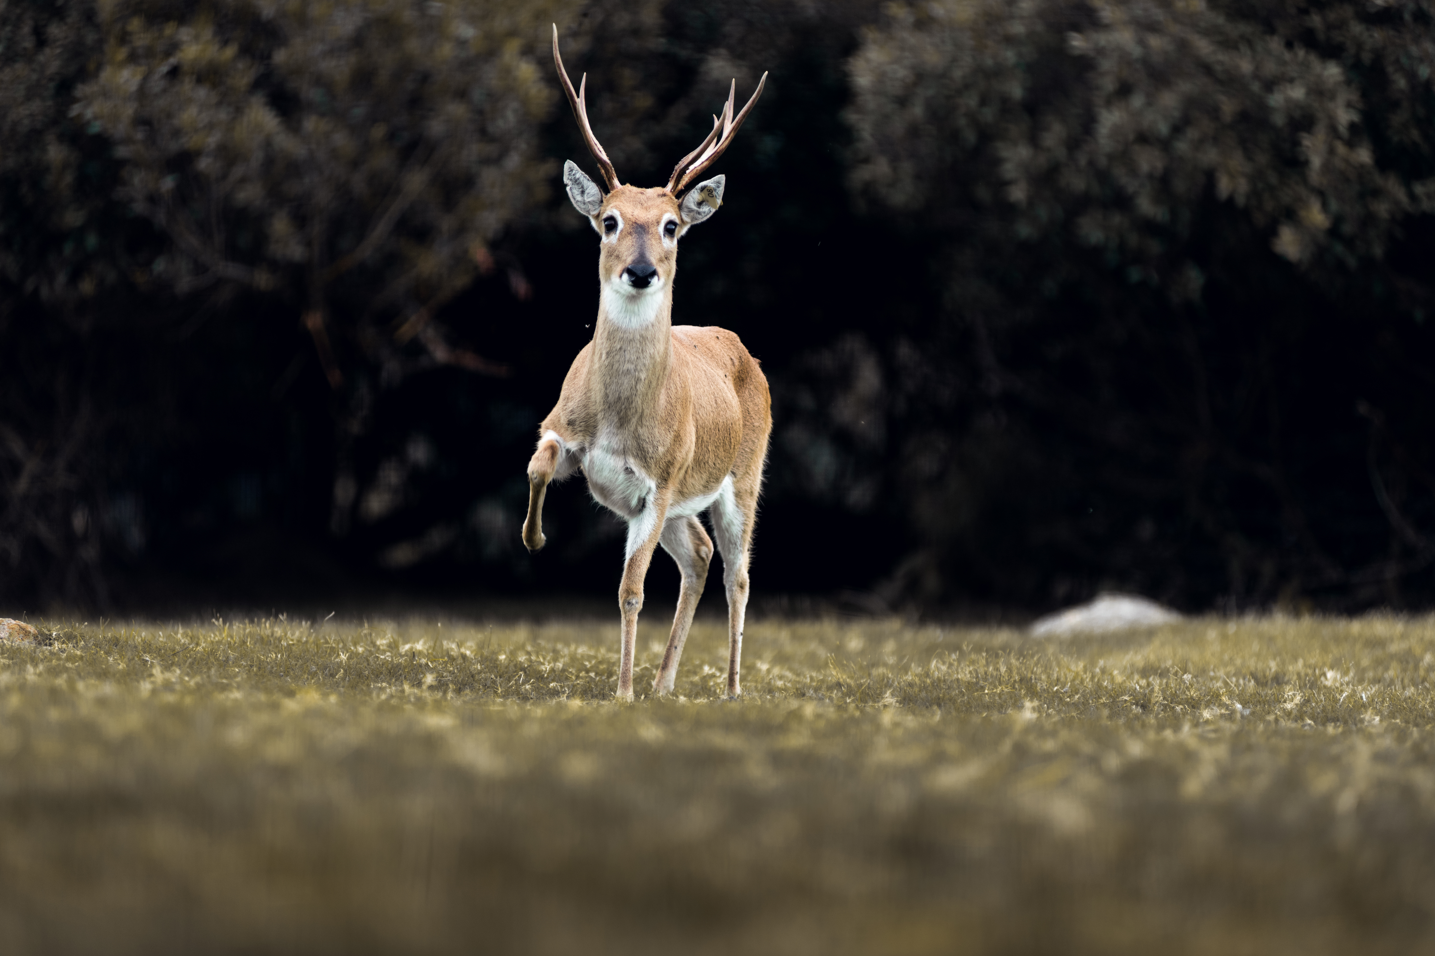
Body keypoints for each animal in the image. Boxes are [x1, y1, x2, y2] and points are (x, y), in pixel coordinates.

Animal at [525, 27, 774, 700]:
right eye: (608, 220)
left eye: (671, 226)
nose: (641, 271)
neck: (618, 419)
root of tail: (742, 348)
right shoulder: (562, 426)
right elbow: (538, 465)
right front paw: (534, 536)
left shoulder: (660, 481)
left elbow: (631, 590)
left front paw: (622, 691)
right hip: (684, 505)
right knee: (700, 554)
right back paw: (665, 683)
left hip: (741, 475)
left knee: (737, 572)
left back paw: (730, 687)